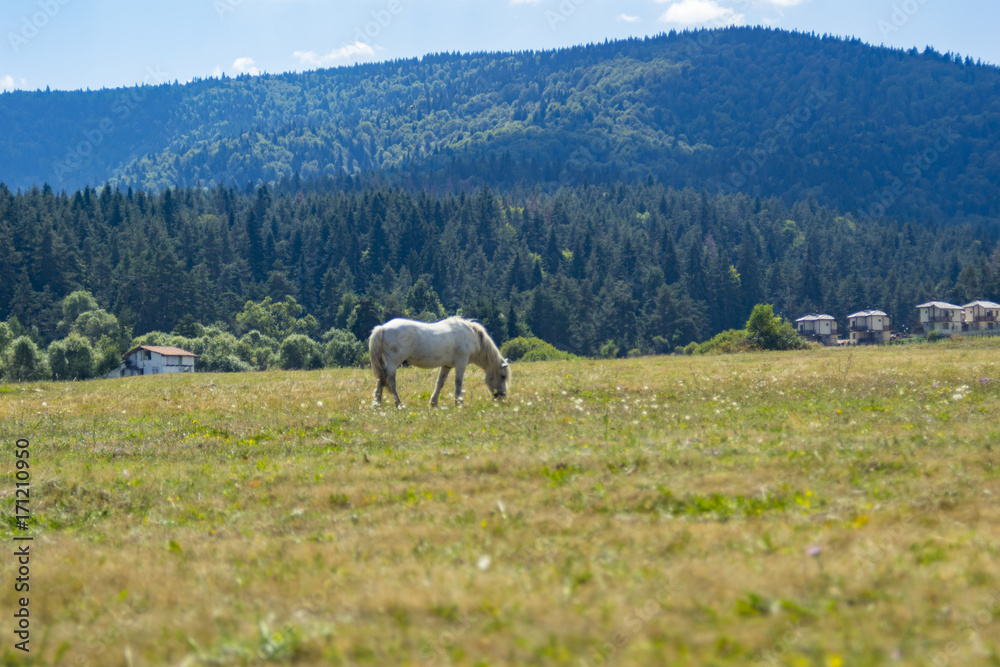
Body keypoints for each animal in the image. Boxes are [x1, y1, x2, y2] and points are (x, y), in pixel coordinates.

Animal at [368, 317, 510, 408]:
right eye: (503, 376)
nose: (502, 397)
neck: (472, 336)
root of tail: (383, 328)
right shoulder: (461, 363)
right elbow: (458, 382)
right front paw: (459, 403)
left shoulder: (446, 366)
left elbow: (440, 383)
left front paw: (433, 403)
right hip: (394, 363)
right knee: (390, 381)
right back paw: (399, 404)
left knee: (381, 379)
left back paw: (377, 403)